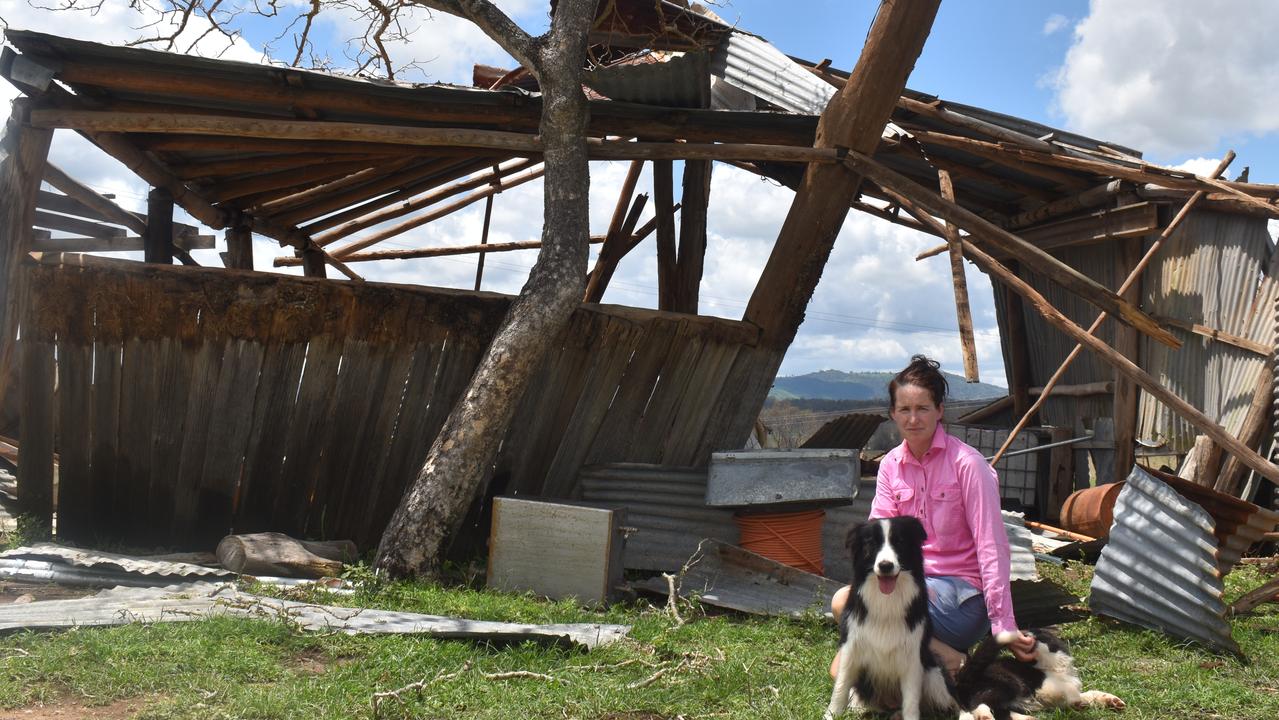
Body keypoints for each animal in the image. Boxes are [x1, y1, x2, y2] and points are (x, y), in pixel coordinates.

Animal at [828, 519, 966, 720]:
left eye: (899, 542)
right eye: (871, 543)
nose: (885, 565)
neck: (887, 601)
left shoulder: (913, 657)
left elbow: (911, 700)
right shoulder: (851, 648)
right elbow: (840, 687)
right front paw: (831, 715)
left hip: (933, 674)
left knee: (956, 703)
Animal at [956, 626, 1125, 720]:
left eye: (1038, 632)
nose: (1023, 633)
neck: (1052, 666)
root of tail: (962, 676)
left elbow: (1089, 693)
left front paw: (1111, 700)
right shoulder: (1046, 687)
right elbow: (1070, 693)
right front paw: (1078, 703)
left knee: (1001, 711)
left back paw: (1028, 718)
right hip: (1010, 682)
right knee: (977, 703)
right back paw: (984, 716)